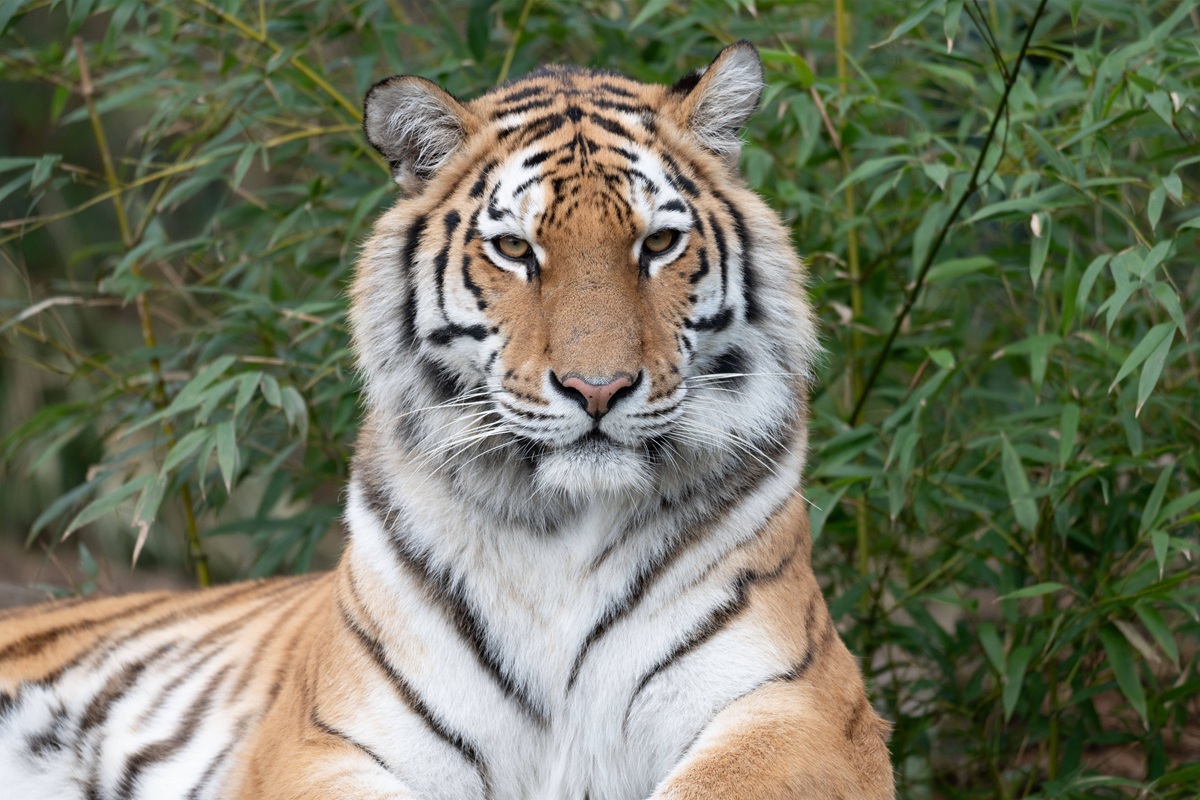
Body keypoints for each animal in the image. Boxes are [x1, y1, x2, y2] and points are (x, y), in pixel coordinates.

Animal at [0, 42, 894, 799]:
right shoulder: (325, 742)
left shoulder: (802, 708)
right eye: (516, 250)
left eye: (659, 244)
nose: (598, 389)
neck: (565, 534)